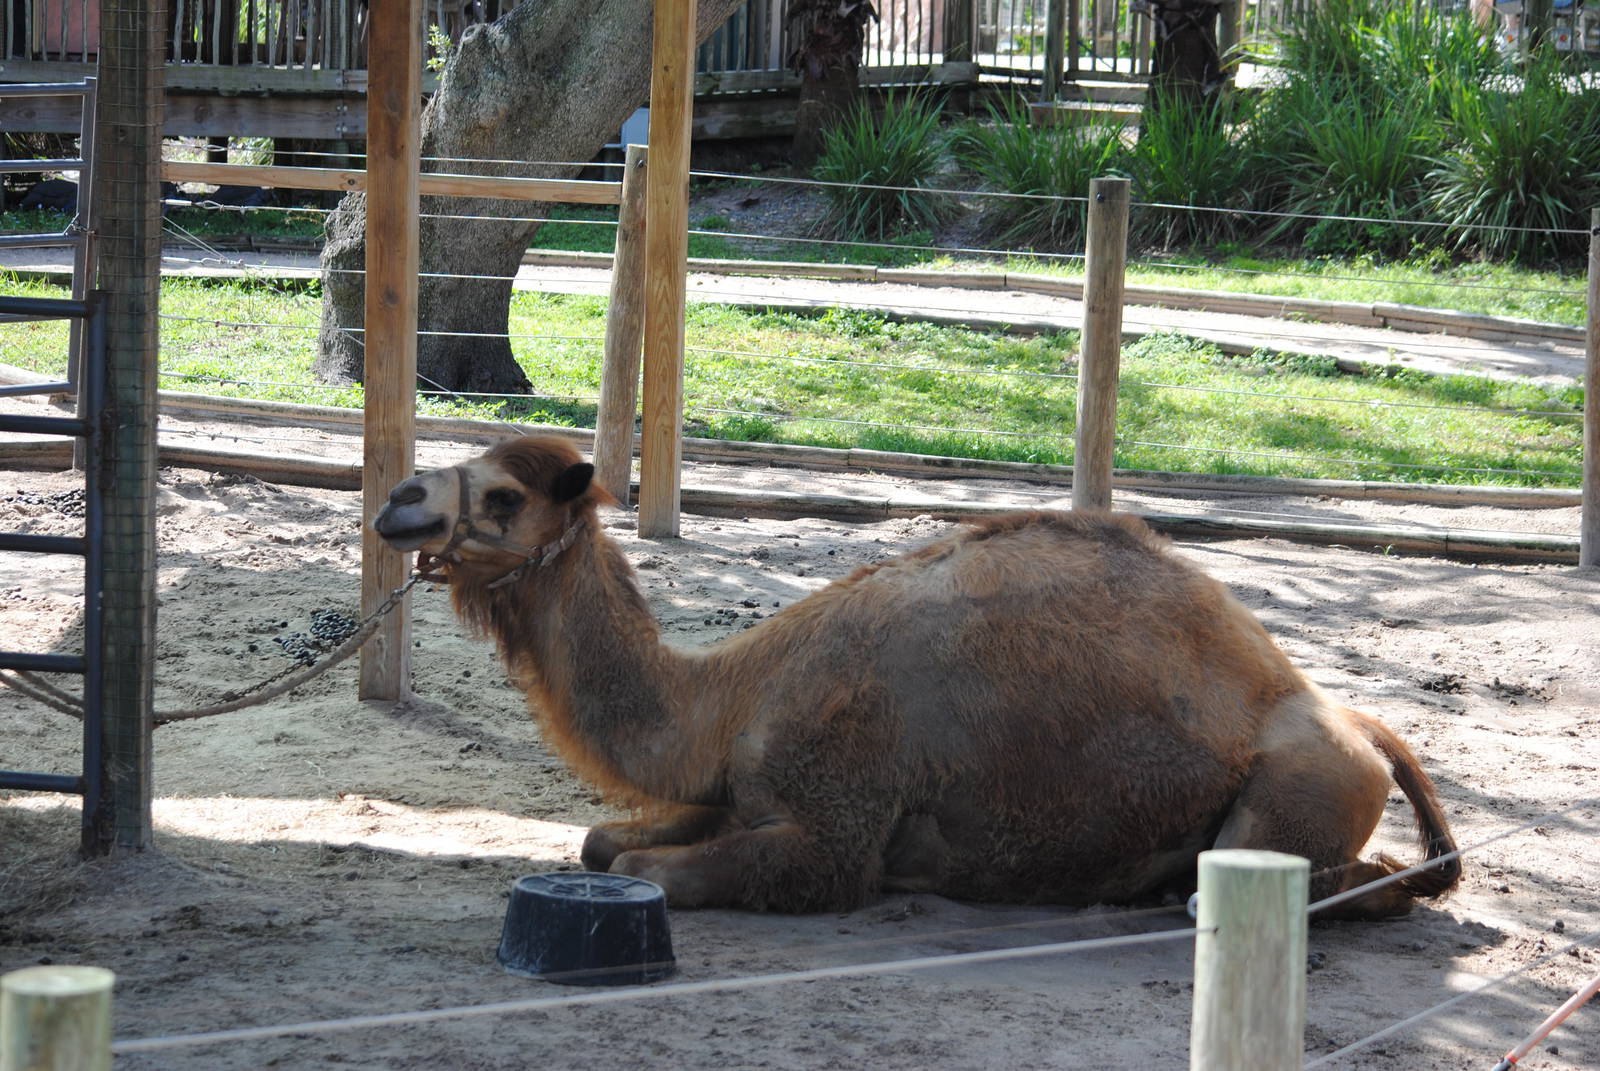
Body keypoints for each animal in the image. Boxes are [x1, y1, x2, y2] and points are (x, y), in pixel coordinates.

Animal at [374, 436, 1461, 916]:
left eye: (503, 495)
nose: (398, 499)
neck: (731, 697)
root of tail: (1359, 725)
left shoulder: (836, 827)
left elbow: (653, 870)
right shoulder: (738, 789)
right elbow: (602, 841)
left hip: (1299, 788)